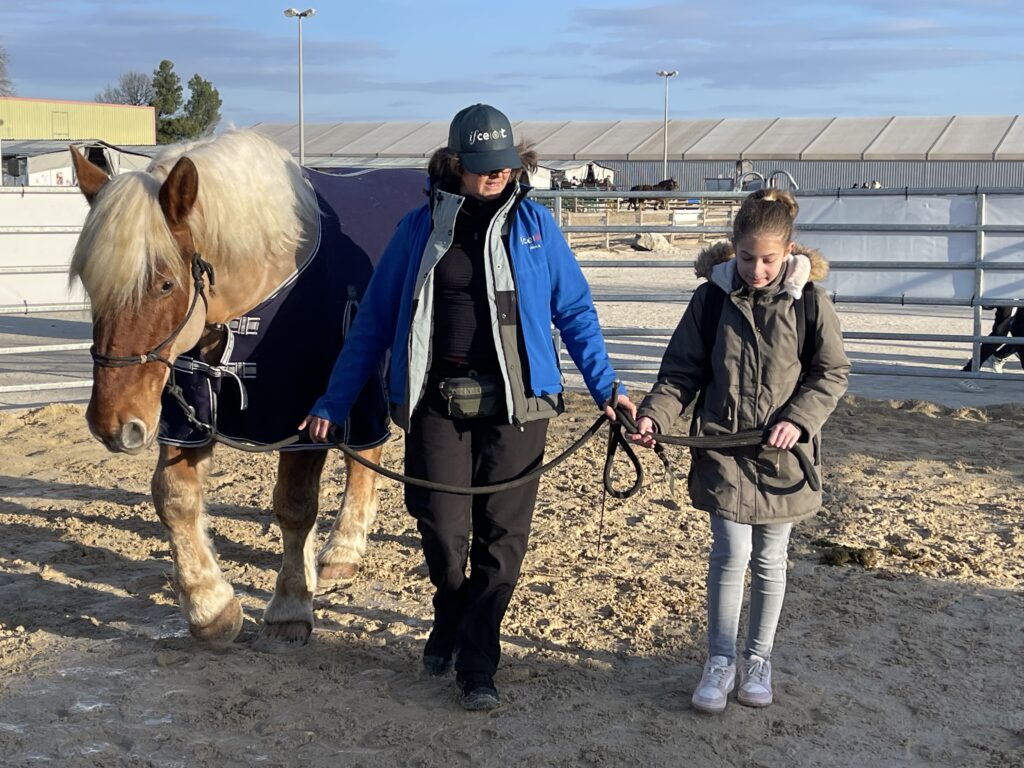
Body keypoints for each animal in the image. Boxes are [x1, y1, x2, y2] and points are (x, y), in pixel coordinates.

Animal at [68, 130, 409, 650]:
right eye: (90, 282)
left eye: (165, 284)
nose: (112, 425)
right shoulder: (185, 417)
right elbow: (174, 498)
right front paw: (211, 607)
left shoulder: (306, 419)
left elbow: (294, 507)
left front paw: (291, 607)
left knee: (364, 454)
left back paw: (343, 548)